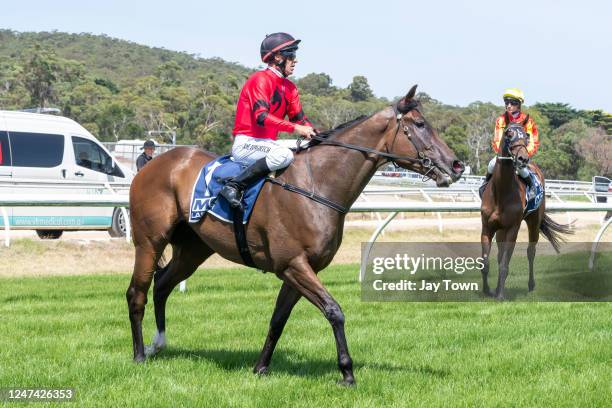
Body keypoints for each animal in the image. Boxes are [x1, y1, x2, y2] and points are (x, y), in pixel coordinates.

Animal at [128, 84, 464, 384]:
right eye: (420, 124)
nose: (457, 165)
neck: (316, 185)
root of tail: (154, 164)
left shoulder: (299, 269)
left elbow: (278, 319)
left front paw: (260, 368)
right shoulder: (293, 264)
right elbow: (334, 311)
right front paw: (347, 372)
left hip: (193, 249)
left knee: (163, 284)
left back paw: (158, 343)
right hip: (149, 241)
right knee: (137, 292)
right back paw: (139, 354)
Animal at [478, 122, 572, 300]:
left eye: (526, 136)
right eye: (508, 134)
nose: (523, 158)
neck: (501, 192)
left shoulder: (512, 229)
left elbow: (505, 265)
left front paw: (500, 296)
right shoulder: (487, 227)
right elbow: (486, 263)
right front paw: (488, 291)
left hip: (533, 223)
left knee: (530, 252)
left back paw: (530, 285)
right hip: (500, 230)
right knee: (500, 254)